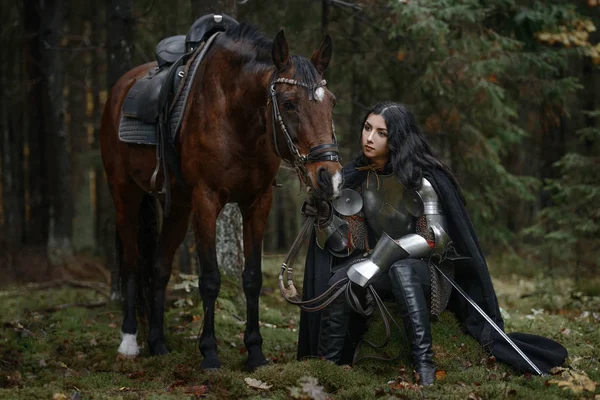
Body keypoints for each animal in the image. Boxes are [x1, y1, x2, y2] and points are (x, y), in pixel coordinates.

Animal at [99, 23, 342, 370]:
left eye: (331, 103)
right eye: (289, 103)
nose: (329, 177)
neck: (236, 116)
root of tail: (121, 88)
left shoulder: (257, 202)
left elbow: (252, 278)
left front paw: (255, 352)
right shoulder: (206, 200)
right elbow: (210, 279)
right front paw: (210, 353)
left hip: (178, 208)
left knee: (159, 268)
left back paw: (158, 343)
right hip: (125, 194)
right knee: (132, 264)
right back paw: (130, 341)